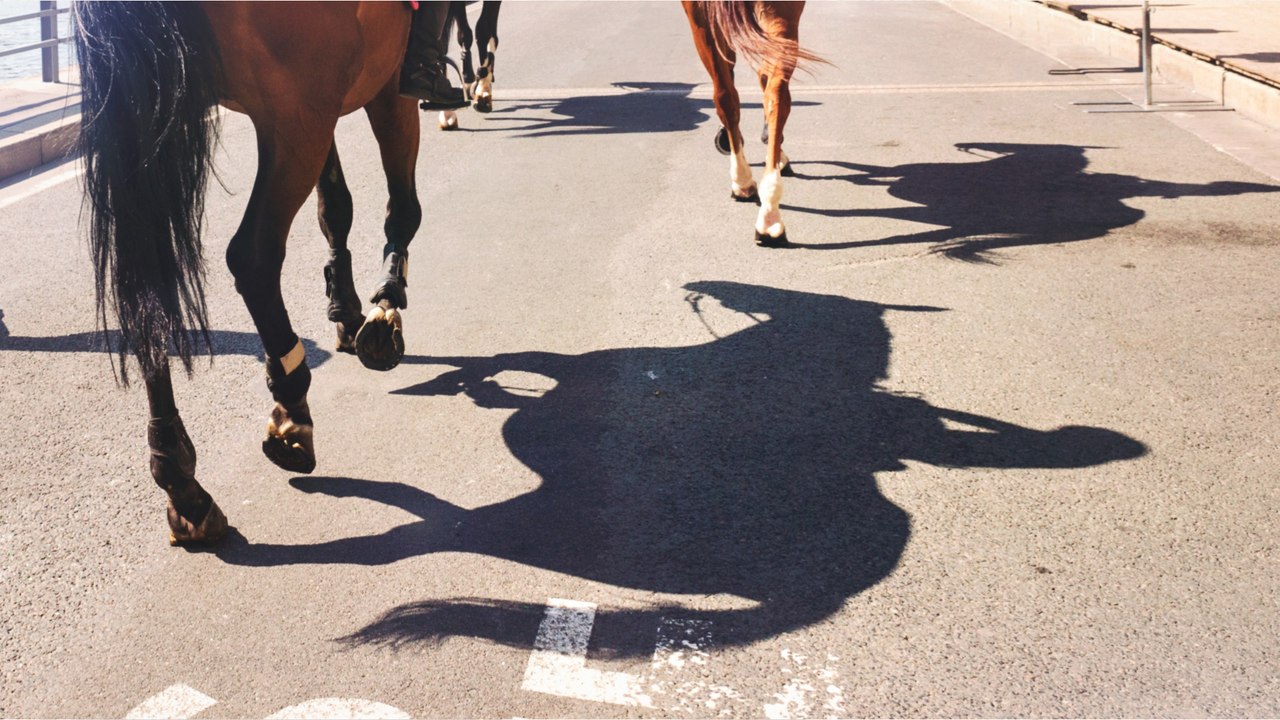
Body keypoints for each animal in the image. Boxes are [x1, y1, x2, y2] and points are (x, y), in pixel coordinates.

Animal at [73, 1, 423, 545]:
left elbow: (335, 205)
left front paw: (347, 310)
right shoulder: (384, 83)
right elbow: (401, 207)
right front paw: (385, 306)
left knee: (148, 287)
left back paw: (180, 479)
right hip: (294, 115)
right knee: (253, 259)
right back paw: (291, 405)